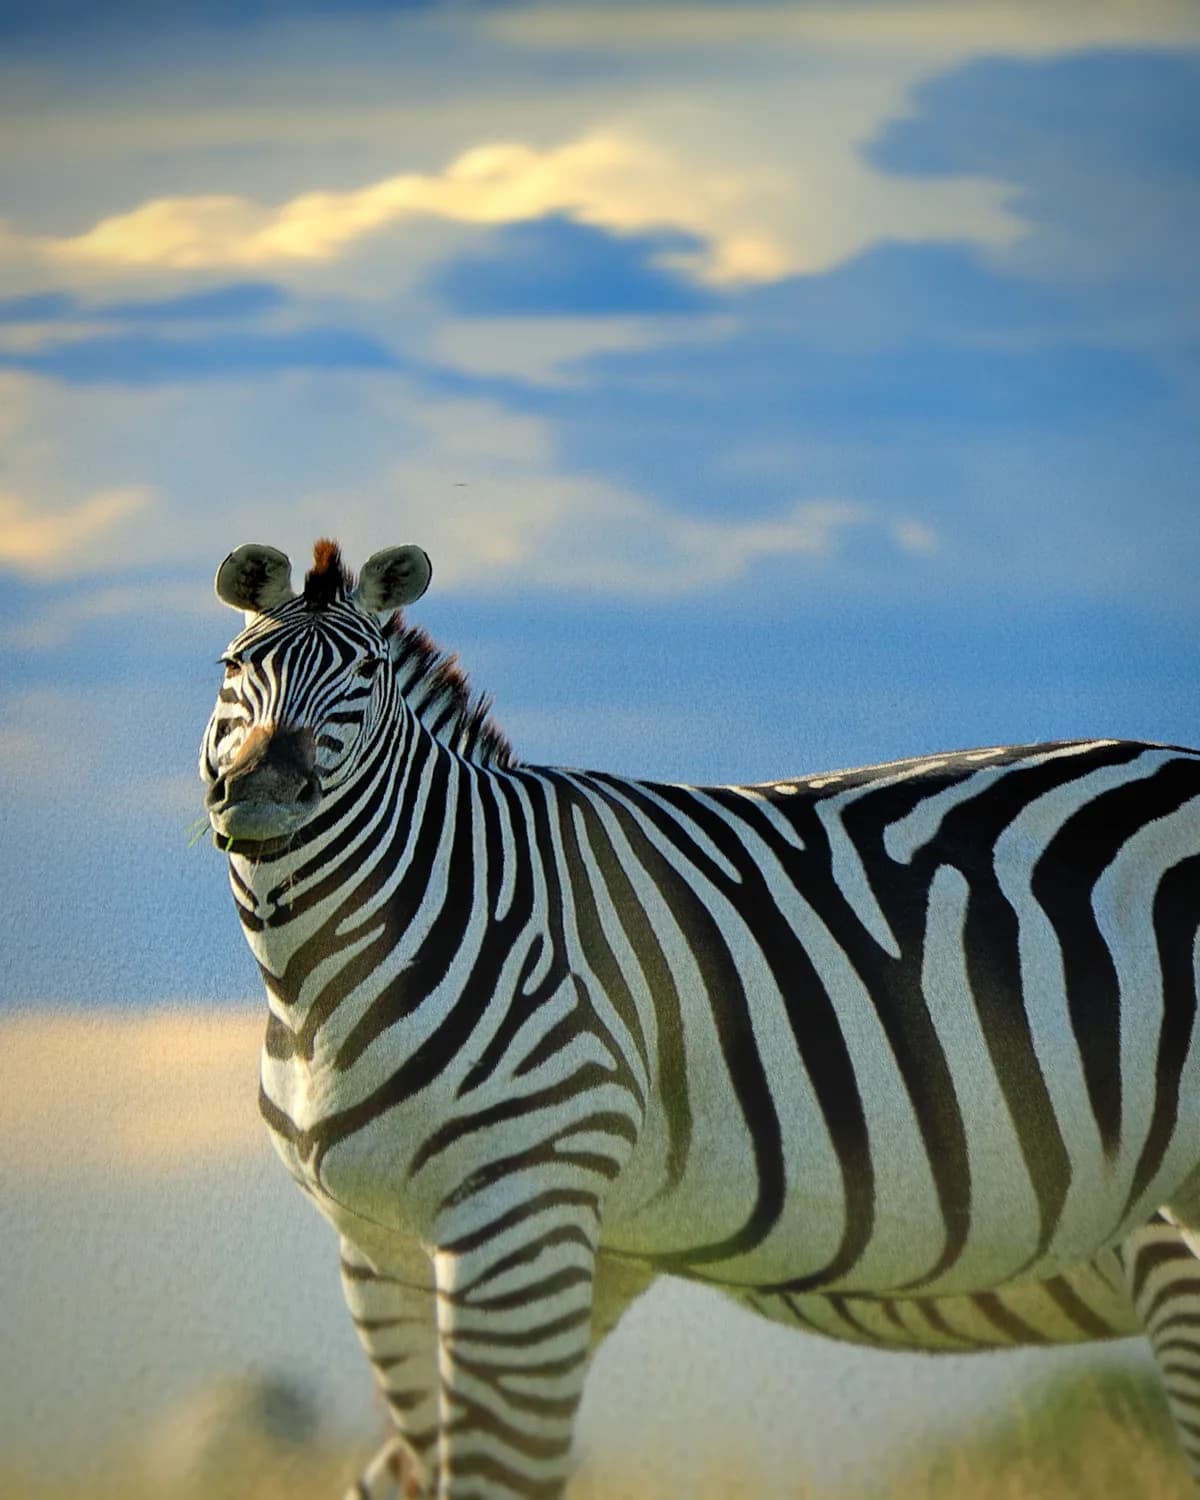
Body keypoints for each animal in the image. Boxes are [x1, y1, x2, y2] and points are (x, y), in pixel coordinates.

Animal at [201, 536, 1200, 1499]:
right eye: (233, 666)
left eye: (365, 675)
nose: (263, 790)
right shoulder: (384, 1246)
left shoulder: (519, 1203)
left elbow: (494, 1474)